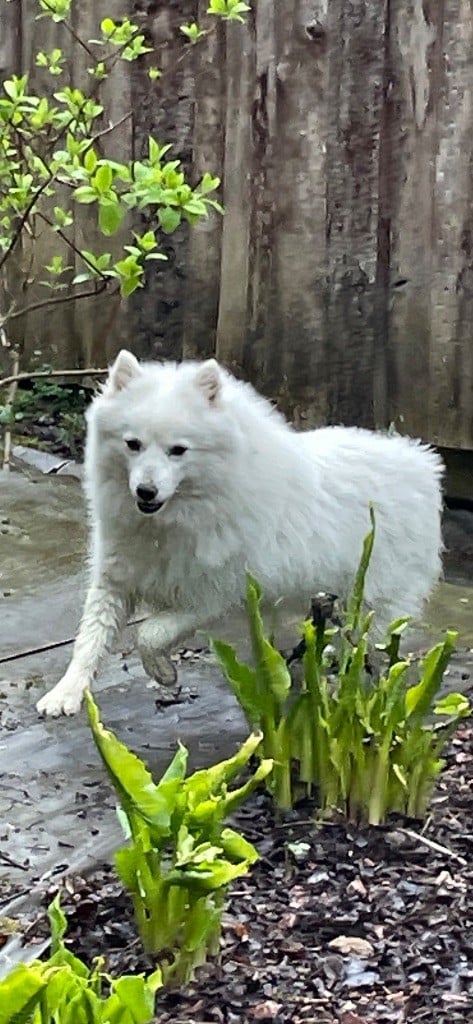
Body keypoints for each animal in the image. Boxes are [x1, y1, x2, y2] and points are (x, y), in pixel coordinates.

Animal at [36, 348, 444, 716]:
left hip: (373, 602)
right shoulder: (115, 579)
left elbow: (148, 634)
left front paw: (163, 672)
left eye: (178, 450)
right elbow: (89, 640)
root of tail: (423, 462)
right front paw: (66, 693)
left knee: (366, 647)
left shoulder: (210, 596)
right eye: (132, 444)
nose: (145, 491)